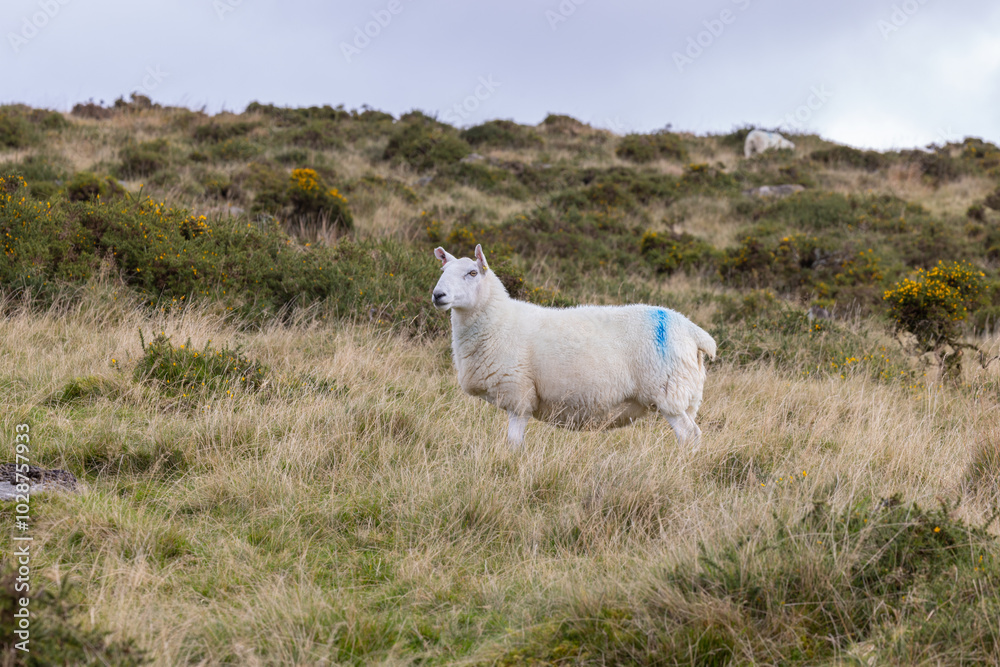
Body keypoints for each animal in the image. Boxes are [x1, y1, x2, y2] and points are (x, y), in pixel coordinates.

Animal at [431, 244, 717, 448]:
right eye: (442, 272)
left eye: (472, 273)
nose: (438, 295)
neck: (499, 321)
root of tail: (693, 330)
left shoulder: (518, 394)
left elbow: (514, 442)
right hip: (685, 396)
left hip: (669, 393)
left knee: (689, 435)